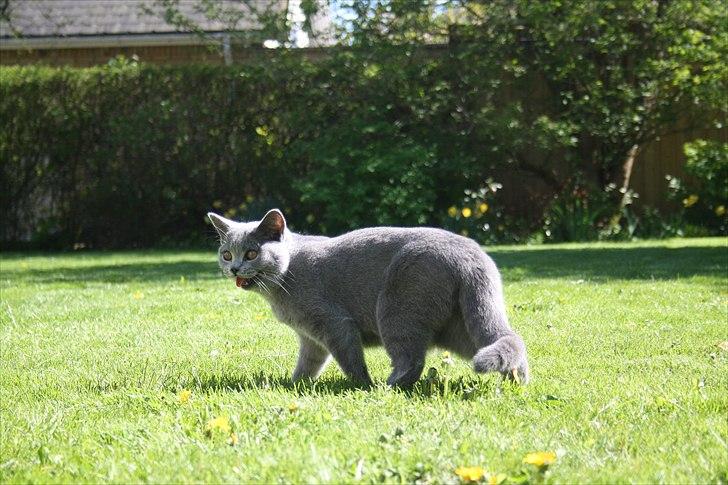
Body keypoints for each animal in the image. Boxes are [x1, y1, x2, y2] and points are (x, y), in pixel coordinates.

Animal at [208, 208, 528, 386]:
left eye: (252, 253)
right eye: (227, 254)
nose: (234, 268)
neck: (285, 279)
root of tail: (473, 257)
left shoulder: (334, 323)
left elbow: (349, 359)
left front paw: (362, 384)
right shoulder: (310, 337)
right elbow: (309, 363)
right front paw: (293, 385)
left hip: (396, 308)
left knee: (412, 359)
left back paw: (387, 387)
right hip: (459, 322)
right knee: (507, 340)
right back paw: (517, 382)